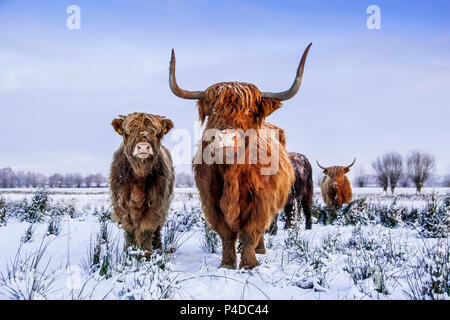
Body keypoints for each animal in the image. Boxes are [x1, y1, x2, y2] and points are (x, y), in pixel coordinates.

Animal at [109, 112, 176, 258]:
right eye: (129, 132)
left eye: (156, 133)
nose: (144, 147)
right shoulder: (122, 207)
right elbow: (130, 232)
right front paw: (129, 253)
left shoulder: (155, 206)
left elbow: (146, 231)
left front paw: (146, 256)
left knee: (157, 230)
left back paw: (158, 248)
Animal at [167, 43, 312, 268]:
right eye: (212, 110)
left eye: (250, 110)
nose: (226, 138)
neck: (232, 173)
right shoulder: (211, 200)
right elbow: (226, 234)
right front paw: (227, 263)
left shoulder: (262, 201)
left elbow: (251, 231)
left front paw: (249, 263)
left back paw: (259, 250)